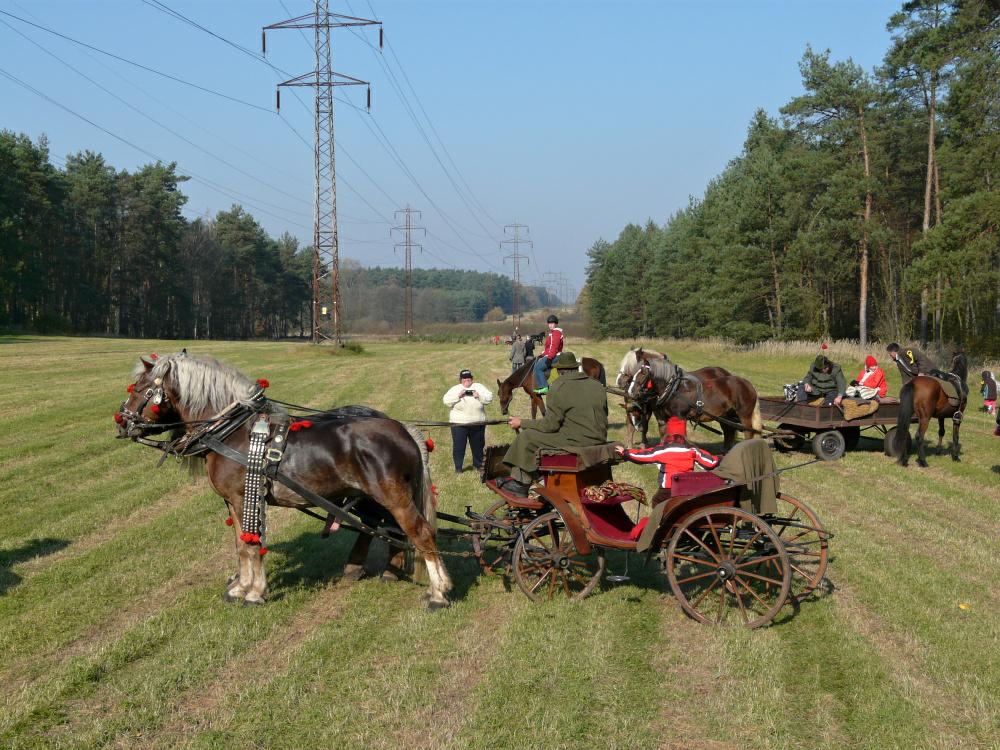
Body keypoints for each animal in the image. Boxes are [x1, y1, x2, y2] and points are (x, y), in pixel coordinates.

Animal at [114, 352, 454, 612]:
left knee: (421, 533)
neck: (232, 431)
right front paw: (239, 587)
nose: (121, 422)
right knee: (387, 527)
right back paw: (383, 571)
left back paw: (438, 593)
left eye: (140, 388)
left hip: (394, 495)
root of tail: (402, 428)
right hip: (373, 497)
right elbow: (240, 545)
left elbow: (252, 546)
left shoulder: (243, 498)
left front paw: (254, 592)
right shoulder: (234, 502)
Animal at [628, 354, 760, 450]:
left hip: (744, 415)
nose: (630, 391)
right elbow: (664, 434)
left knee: (748, 433)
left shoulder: (680, 416)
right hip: (727, 416)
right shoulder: (664, 416)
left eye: (643, 373)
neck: (674, 388)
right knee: (729, 432)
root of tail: (749, 385)